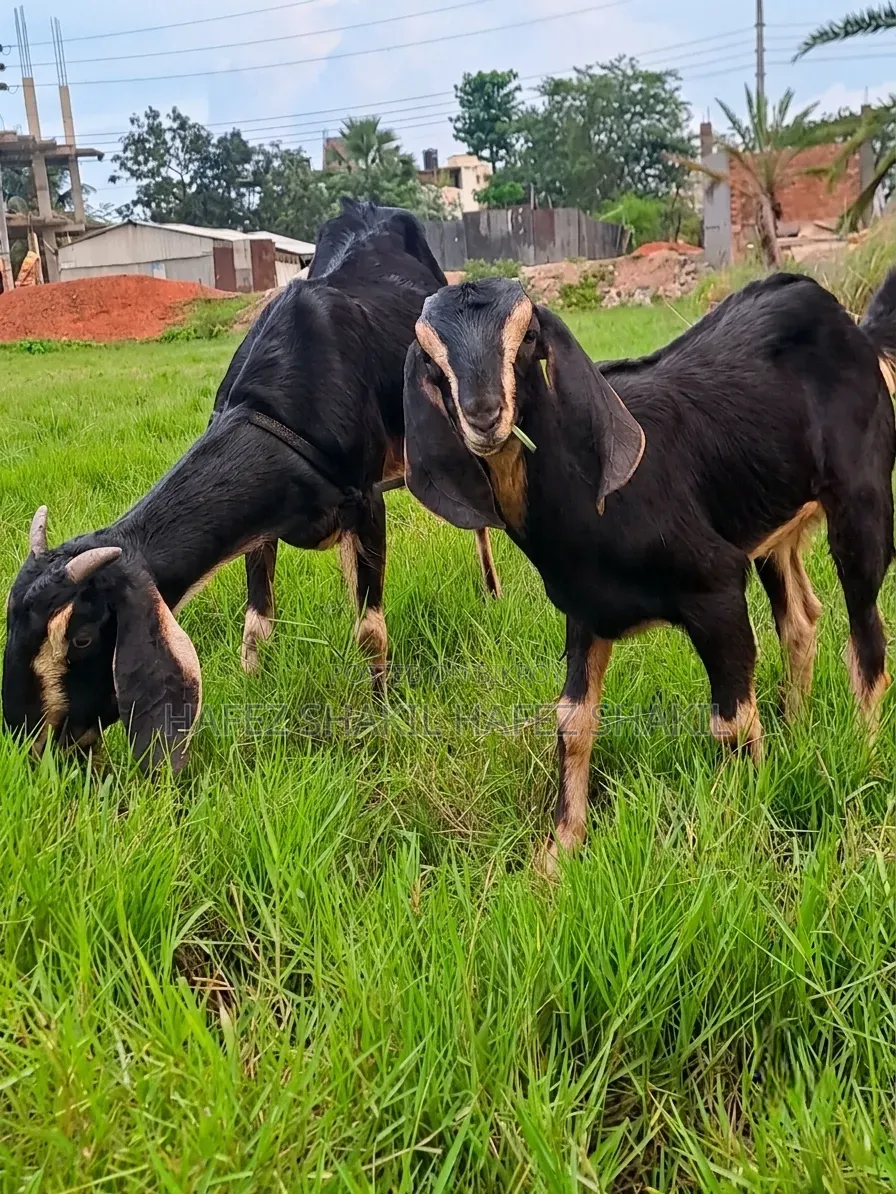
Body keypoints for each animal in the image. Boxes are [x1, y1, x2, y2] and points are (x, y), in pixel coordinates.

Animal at [2, 200, 499, 773]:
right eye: (13, 626)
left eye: (82, 637)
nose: (36, 746)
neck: (280, 409)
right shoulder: (262, 528)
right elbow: (256, 625)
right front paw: (254, 690)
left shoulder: (368, 503)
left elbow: (370, 628)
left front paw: (381, 713)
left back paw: (492, 592)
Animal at [403, 272, 896, 860]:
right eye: (430, 357)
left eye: (528, 337)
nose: (484, 414)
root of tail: (851, 326)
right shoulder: (584, 611)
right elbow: (572, 720)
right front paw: (560, 851)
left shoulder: (715, 587)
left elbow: (731, 720)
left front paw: (746, 829)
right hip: (772, 528)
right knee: (800, 620)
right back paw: (797, 730)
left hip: (861, 500)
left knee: (867, 641)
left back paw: (864, 756)